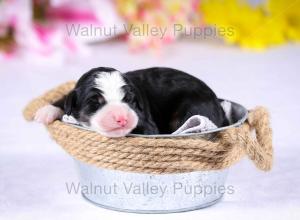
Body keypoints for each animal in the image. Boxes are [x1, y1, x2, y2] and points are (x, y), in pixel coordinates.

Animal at [34, 66, 227, 137]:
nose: (122, 118)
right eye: (95, 103)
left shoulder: (146, 123)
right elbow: (65, 99)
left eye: (128, 100)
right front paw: (45, 111)